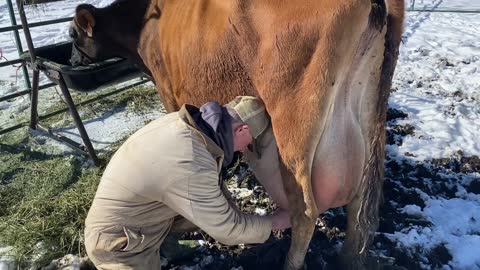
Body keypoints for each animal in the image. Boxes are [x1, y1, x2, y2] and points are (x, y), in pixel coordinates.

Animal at [68, 1, 404, 268]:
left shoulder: (169, 94)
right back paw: (350, 260)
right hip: (366, 116)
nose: (71, 60)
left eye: (72, 35)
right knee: (361, 202)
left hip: (294, 128)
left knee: (306, 212)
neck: (144, 25)